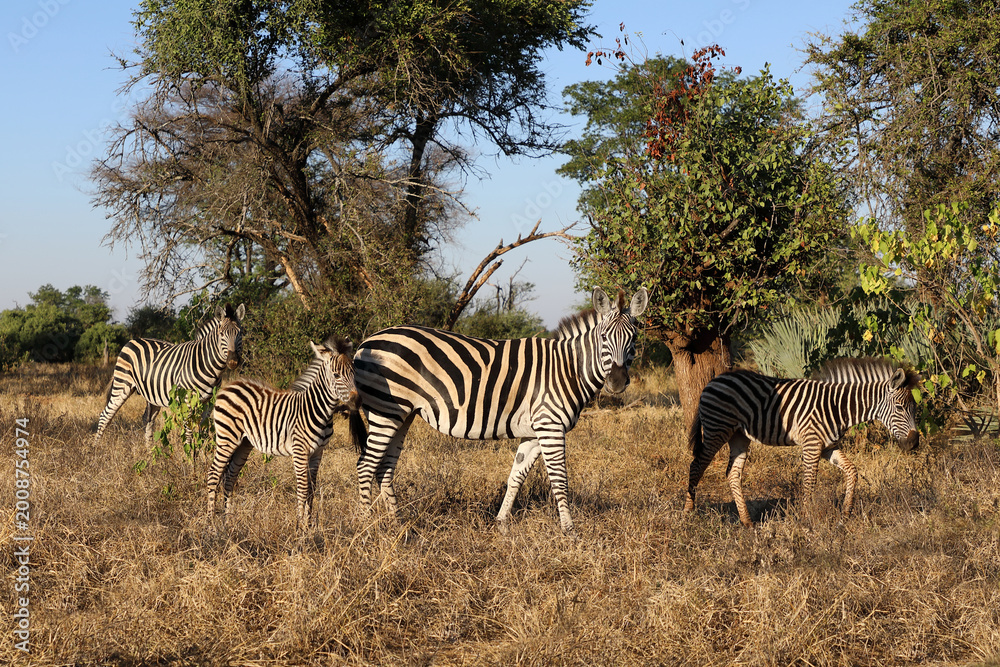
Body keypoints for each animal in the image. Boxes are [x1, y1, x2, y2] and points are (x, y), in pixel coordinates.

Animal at [94, 303, 246, 448]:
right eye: (222, 334)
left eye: (240, 334)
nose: (233, 361)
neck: (208, 365)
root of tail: (131, 341)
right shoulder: (186, 401)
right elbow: (189, 432)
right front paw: (189, 455)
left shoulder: (208, 402)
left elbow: (202, 431)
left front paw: (201, 455)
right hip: (122, 385)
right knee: (105, 415)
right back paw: (96, 448)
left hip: (152, 394)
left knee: (147, 419)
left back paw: (149, 451)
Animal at [207, 336, 359, 528]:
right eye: (336, 375)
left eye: (354, 372)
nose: (357, 401)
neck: (318, 409)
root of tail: (229, 386)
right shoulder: (300, 451)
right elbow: (303, 489)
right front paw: (300, 527)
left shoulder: (318, 452)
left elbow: (312, 489)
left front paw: (309, 525)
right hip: (227, 438)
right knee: (213, 474)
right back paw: (210, 522)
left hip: (243, 443)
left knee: (230, 476)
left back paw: (228, 520)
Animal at [350, 287, 648, 534]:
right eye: (604, 337)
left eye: (633, 338)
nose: (617, 382)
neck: (568, 369)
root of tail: (366, 342)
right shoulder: (550, 426)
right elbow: (560, 480)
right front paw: (570, 530)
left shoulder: (534, 432)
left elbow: (516, 476)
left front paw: (502, 523)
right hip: (385, 410)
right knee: (365, 466)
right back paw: (365, 527)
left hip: (403, 414)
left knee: (384, 467)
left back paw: (397, 524)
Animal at [684, 358, 920, 527]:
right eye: (900, 408)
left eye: (914, 407)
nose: (914, 442)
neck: (838, 407)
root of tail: (713, 380)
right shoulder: (812, 444)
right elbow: (809, 482)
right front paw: (806, 521)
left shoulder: (828, 446)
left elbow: (852, 471)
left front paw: (846, 513)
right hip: (717, 429)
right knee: (696, 465)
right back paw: (688, 513)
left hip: (738, 436)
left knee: (732, 473)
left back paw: (747, 522)